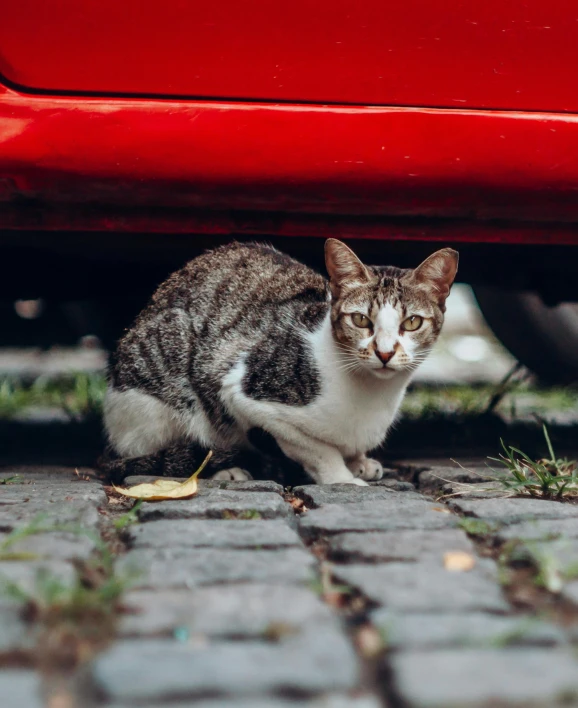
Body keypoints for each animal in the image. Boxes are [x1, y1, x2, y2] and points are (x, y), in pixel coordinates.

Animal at [101, 239, 456, 486]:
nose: (384, 352)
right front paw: (341, 477)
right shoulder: (245, 393)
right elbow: (315, 448)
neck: (373, 396)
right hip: (165, 388)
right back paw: (226, 468)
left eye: (412, 322)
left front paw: (359, 460)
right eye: (360, 320)